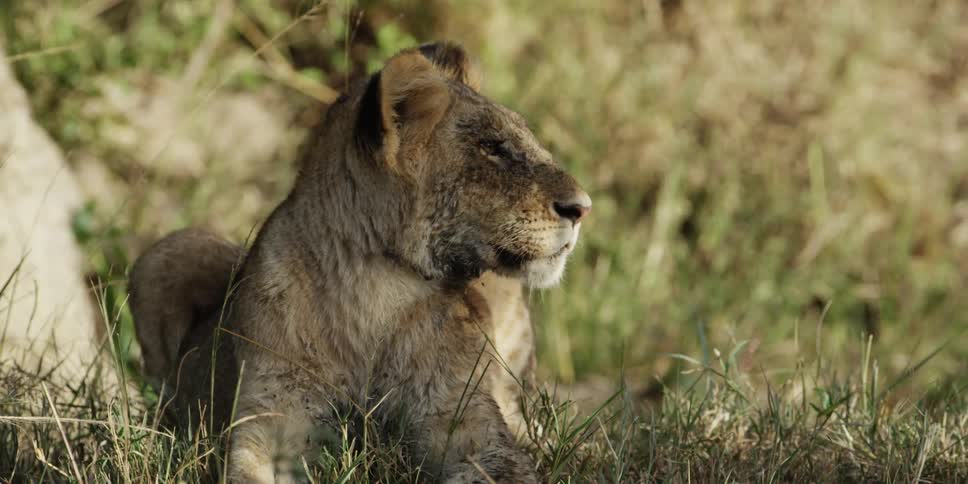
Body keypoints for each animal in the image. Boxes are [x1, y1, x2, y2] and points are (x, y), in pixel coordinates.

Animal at [128, 41, 591, 483]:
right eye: (492, 148)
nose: (582, 208)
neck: (377, 292)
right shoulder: (272, 414)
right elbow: (247, 471)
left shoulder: (462, 416)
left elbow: (503, 464)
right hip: (165, 253)